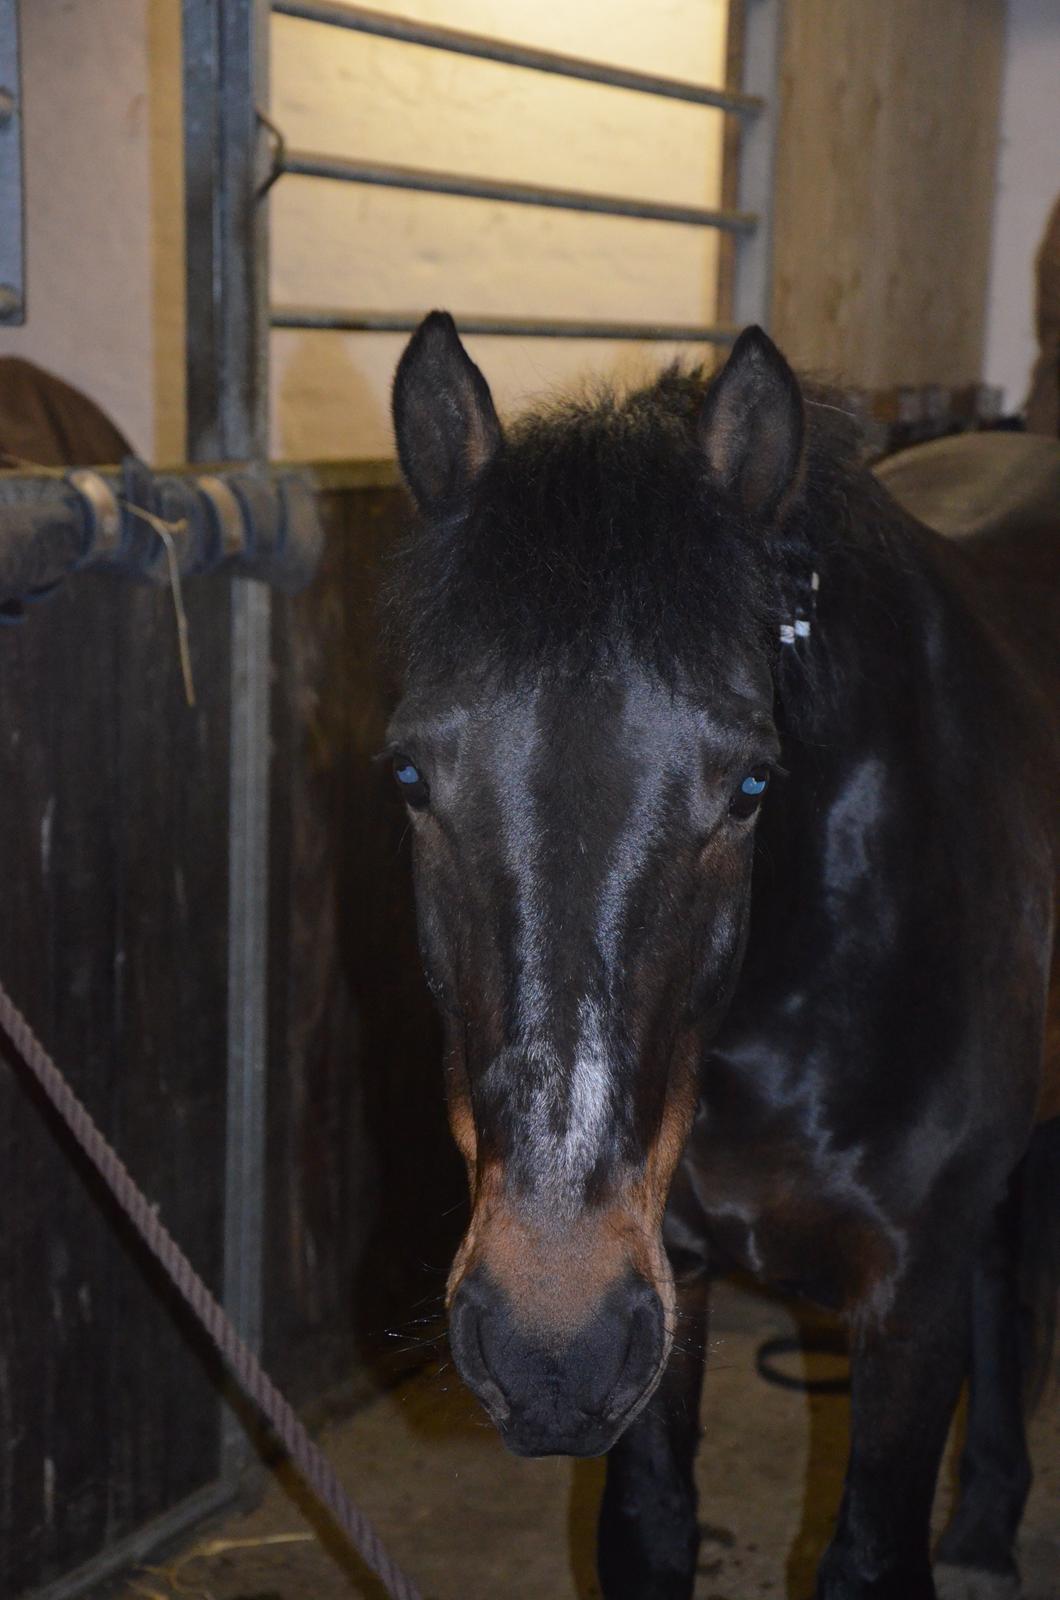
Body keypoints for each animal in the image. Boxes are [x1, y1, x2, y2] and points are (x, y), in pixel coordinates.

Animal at [385, 315, 1056, 1600]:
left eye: (749, 783)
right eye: (406, 774)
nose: (548, 1347)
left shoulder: (909, 1307)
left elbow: (870, 1551)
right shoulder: (667, 1282)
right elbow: (650, 1521)